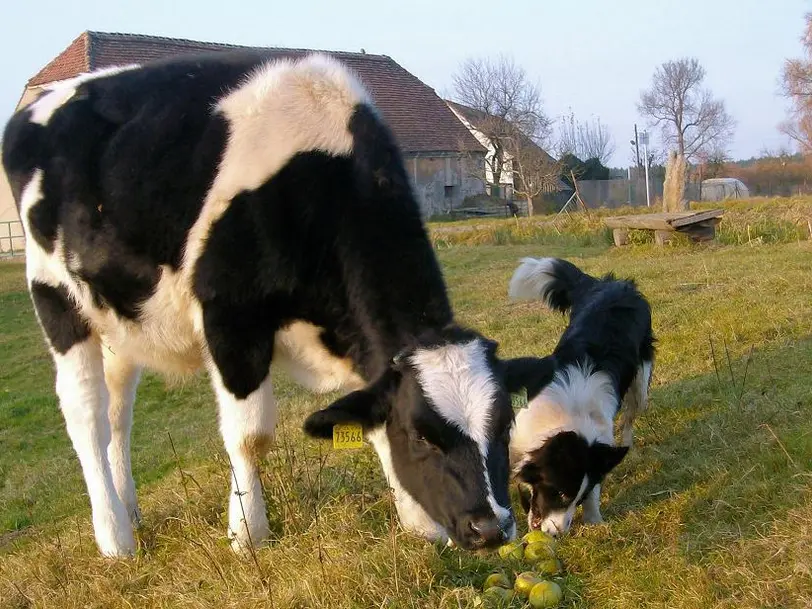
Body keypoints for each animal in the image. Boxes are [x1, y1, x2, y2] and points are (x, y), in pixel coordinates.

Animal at [1, 51, 552, 556]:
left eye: (504, 425)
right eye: (421, 437)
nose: (491, 528)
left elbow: (368, 418)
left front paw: (417, 522)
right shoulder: (230, 318)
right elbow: (251, 435)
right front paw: (247, 535)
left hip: (119, 316)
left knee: (118, 413)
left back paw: (127, 509)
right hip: (55, 294)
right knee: (87, 415)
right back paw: (115, 538)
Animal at [508, 256, 652, 536]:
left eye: (578, 498)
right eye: (561, 493)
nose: (557, 533)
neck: (567, 415)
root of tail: (615, 284)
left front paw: (595, 520)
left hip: (640, 385)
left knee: (630, 418)